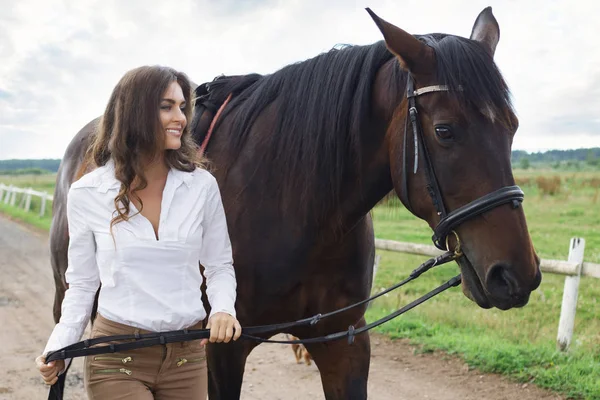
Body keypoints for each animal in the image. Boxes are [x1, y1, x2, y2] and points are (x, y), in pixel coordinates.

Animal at [50, 7, 540, 400]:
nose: (517, 274)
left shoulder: (343, 340)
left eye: (513, 127)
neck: (296, 210)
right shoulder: (221, 350)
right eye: (444, 130)